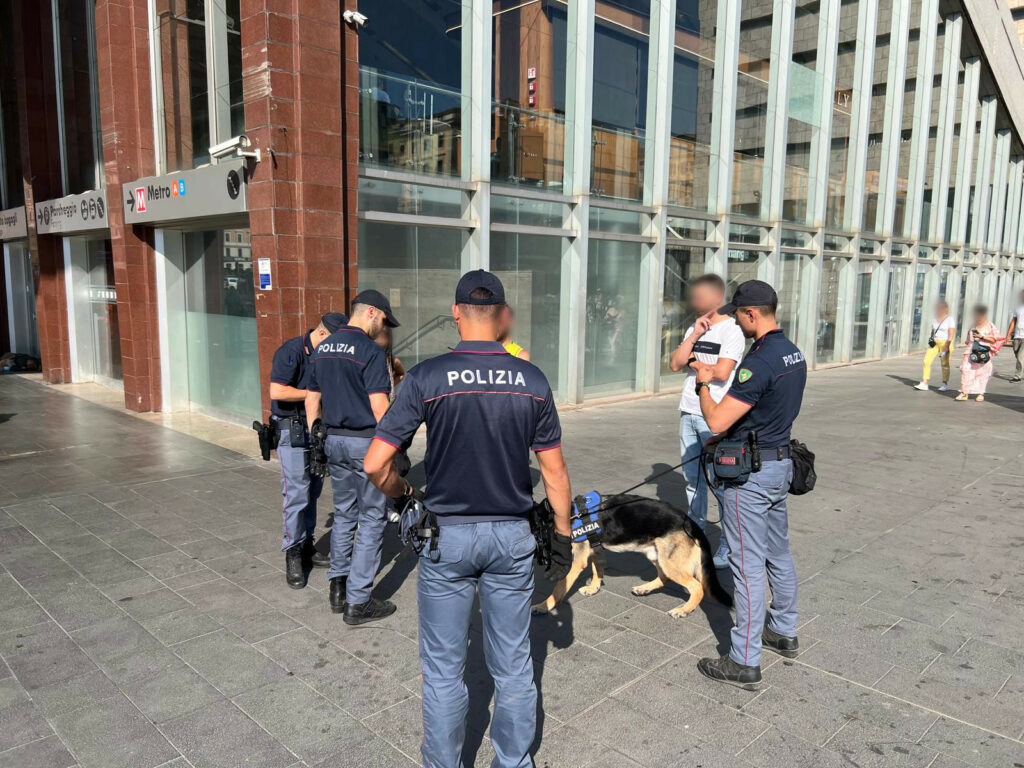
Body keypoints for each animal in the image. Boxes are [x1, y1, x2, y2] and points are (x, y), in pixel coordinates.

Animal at [532, 499, 733, 618]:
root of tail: (689, 522)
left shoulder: (577, 561)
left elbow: (559, 588)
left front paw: (544, 606)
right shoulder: (595, 550)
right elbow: (598, 570)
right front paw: (593, 588)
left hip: (669, 562)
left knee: (697, 588)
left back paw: (684, 609)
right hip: (655, 555)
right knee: (664, 577)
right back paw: (644, 589)